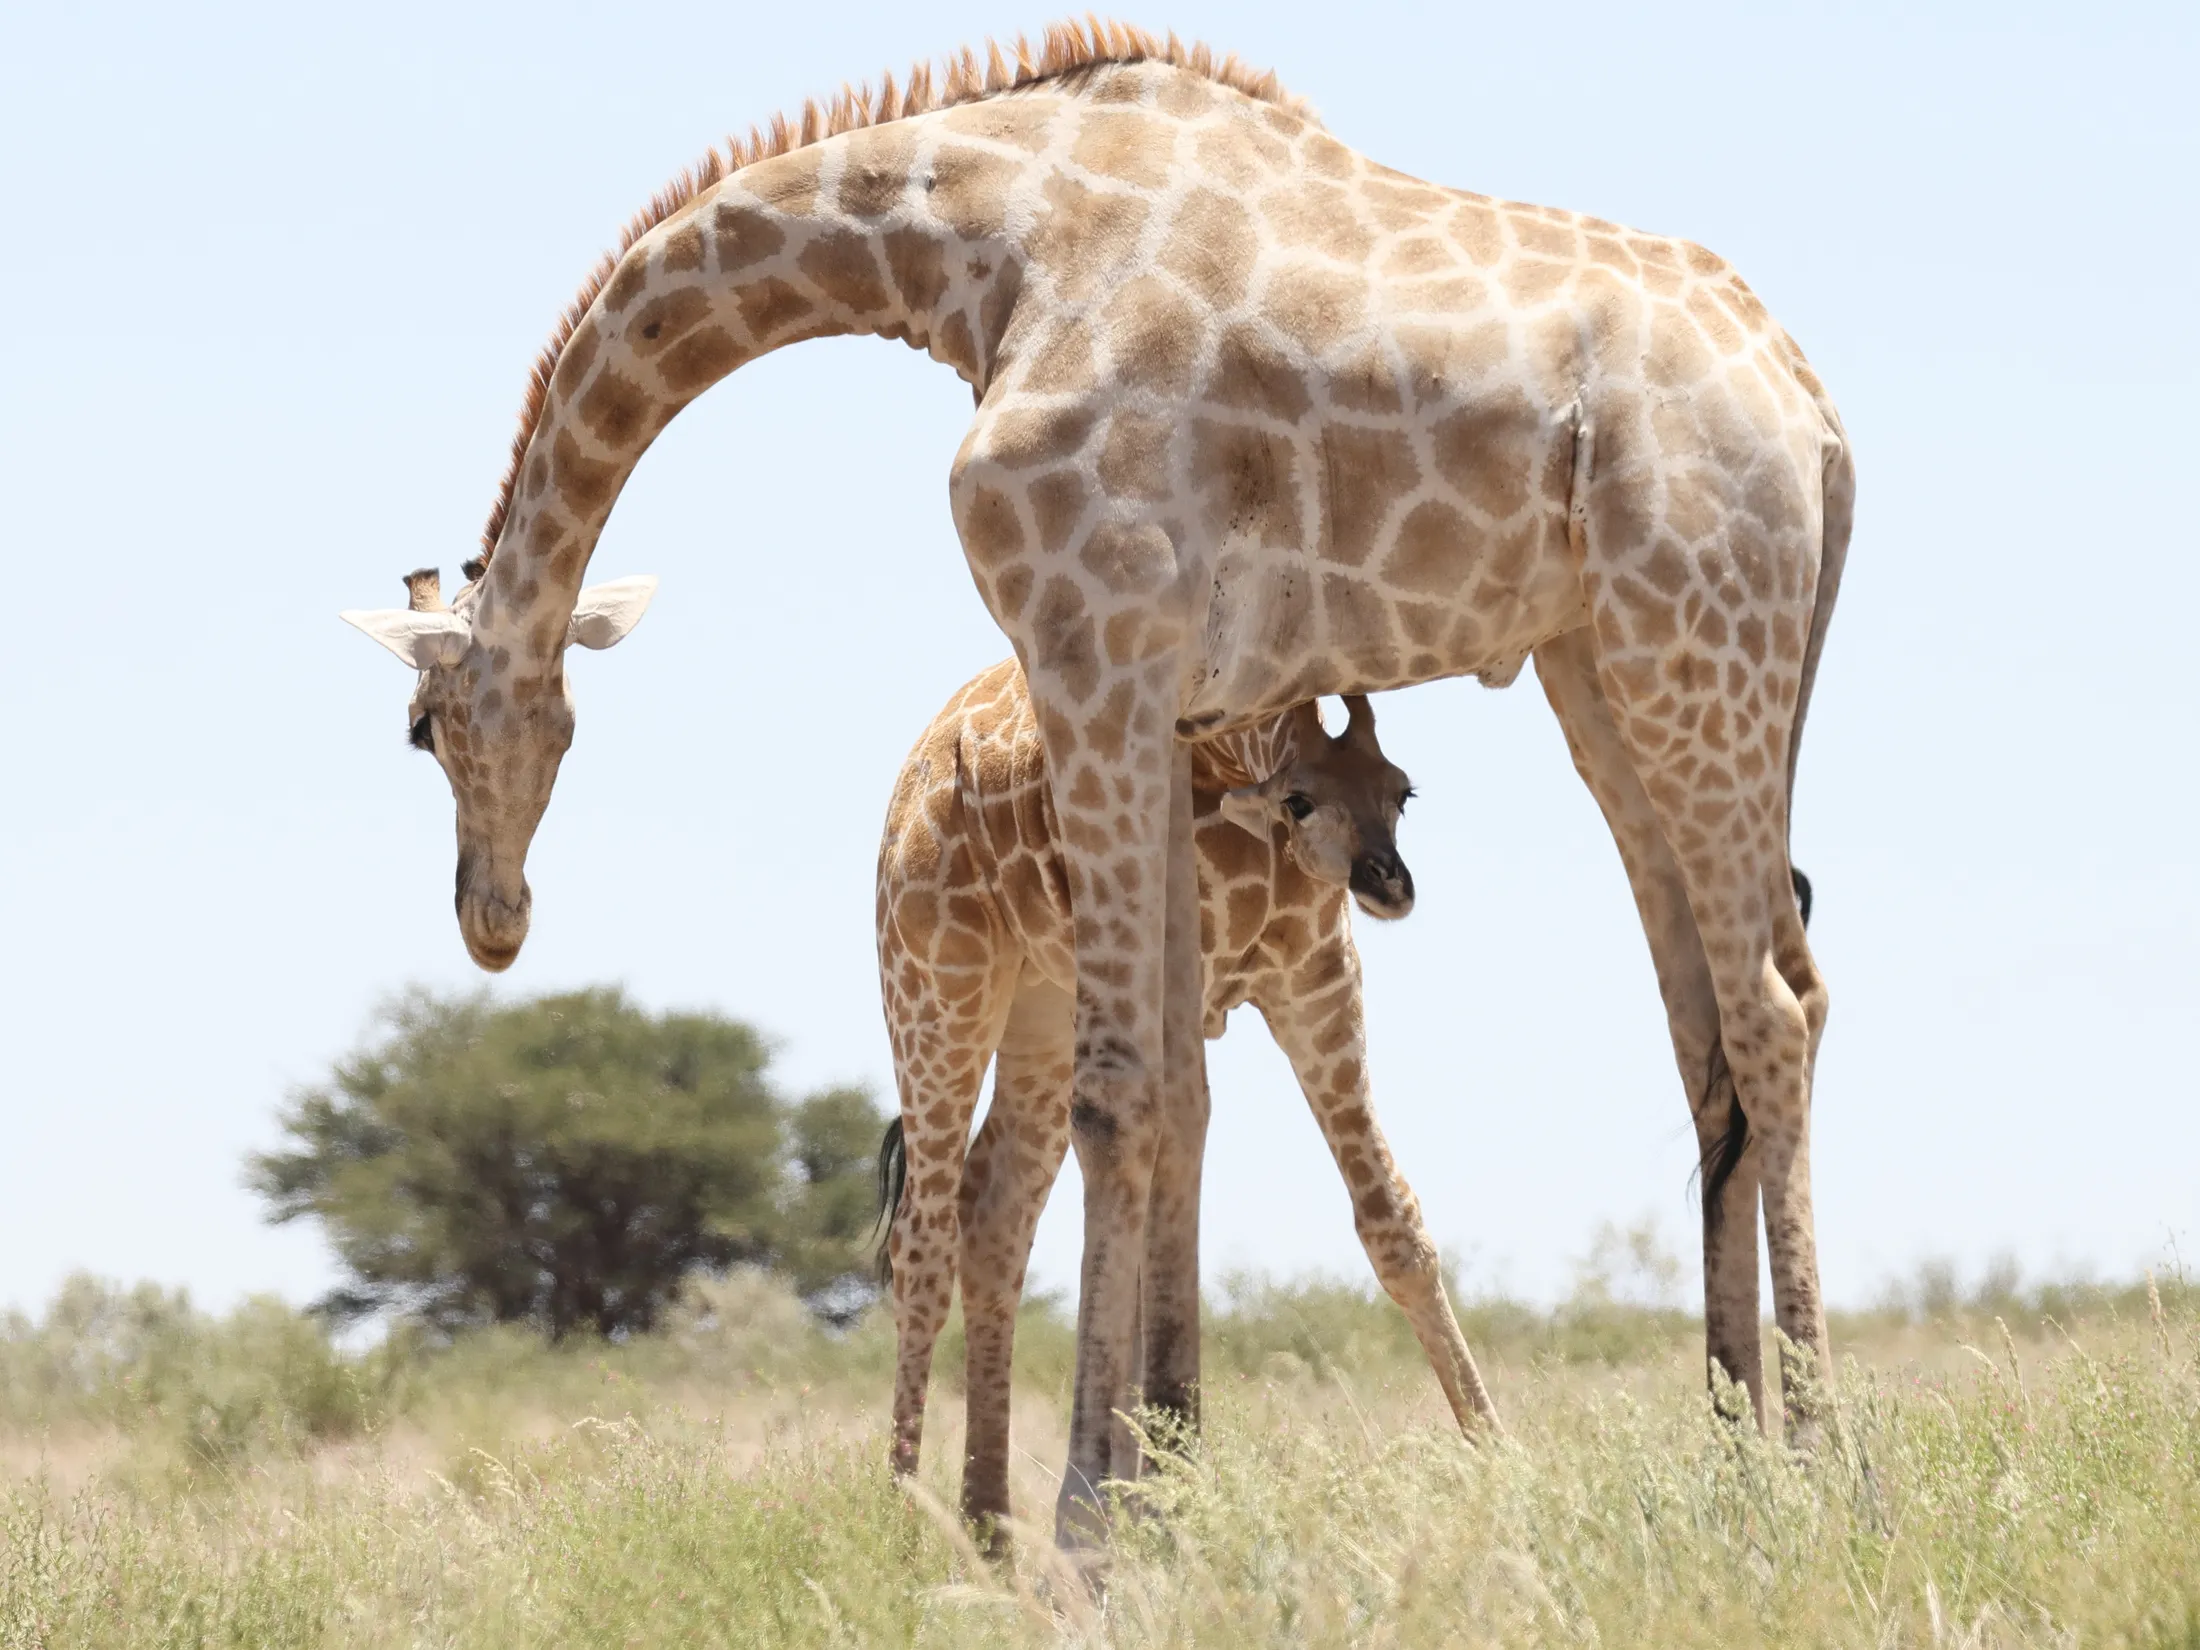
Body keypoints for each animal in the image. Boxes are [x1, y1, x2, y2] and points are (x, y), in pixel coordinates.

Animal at [873, 658, 1496, 1534]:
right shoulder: (1184, 971)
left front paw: (1502, 1455)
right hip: (934, 984)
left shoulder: (1318, 976)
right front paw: (1152, 1499)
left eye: (1403, 791)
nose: (1389, 883)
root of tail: (922, 759)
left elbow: (1391, 1221)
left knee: (992, 1216)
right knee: (921, 1238)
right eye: (1298, 800)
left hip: (1042, 1012)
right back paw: (906, 1520)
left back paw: (989, 1530)